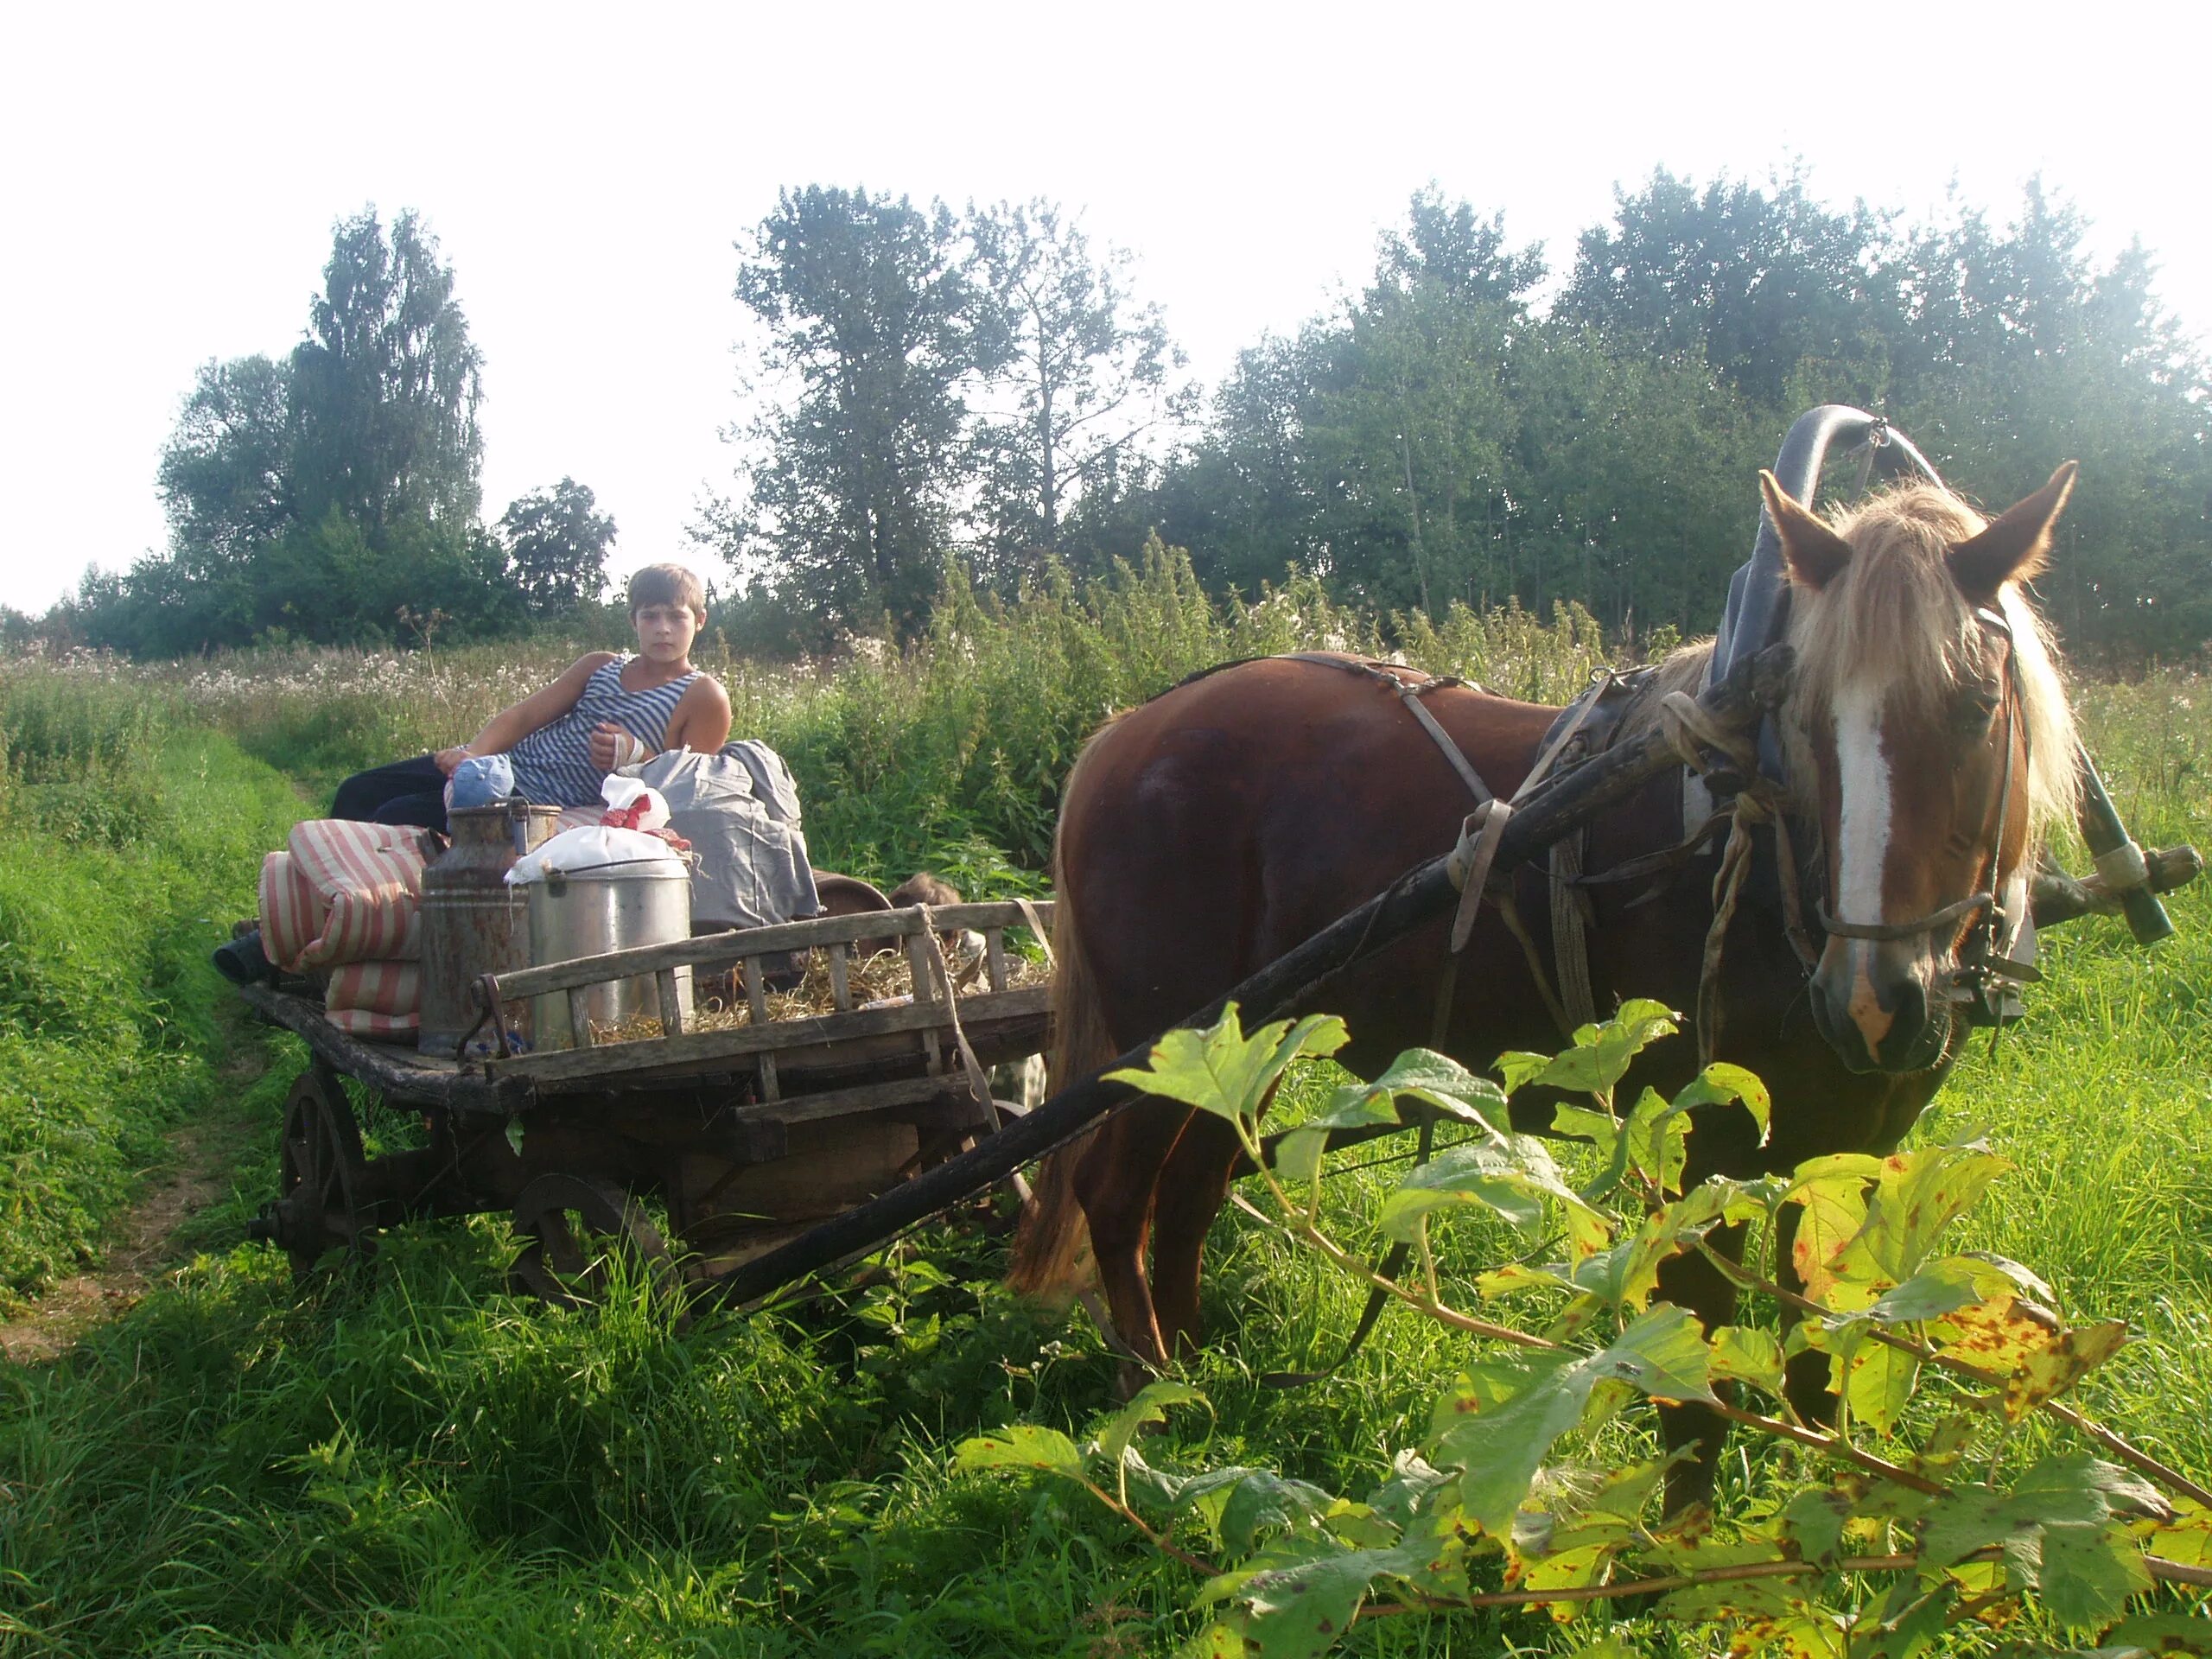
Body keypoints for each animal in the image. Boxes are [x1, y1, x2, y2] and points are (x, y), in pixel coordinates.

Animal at [1013, 464, 2079, 1495]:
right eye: (1806, 718)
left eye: (1978, 709)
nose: (1870, 1002)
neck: (1755, 852)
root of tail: (1125, 732)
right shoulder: (1703, 1154)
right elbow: (1697, 1394)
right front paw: (1684, 1538)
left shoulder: (1849, 1148)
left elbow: (1828, 1360)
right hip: (1165, 1044)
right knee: (1118, 1194)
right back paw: (1150, 1398)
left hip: (1242, 1048)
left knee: (1194, 1187)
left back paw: (1199, 1373)